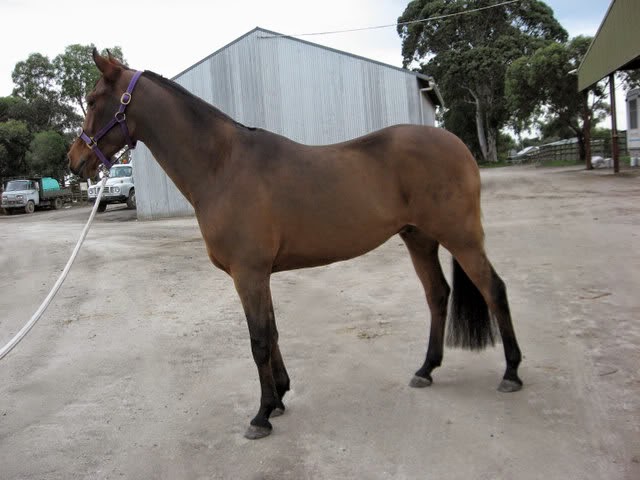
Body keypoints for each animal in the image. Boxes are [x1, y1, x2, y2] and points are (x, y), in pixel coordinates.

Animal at [67, 50, 522, 440]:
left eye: (92, 99)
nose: (75, 161)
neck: (221, 165)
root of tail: (457, 144)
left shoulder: (248, 274)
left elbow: (258, 340)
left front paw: (261, 414)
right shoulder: (259, 274)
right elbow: (272, 332)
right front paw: (281, 396)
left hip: (461, 237)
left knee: (494, 290)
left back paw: (511, 374)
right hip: (419, 239)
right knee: (438, 295)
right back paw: (426, 369)